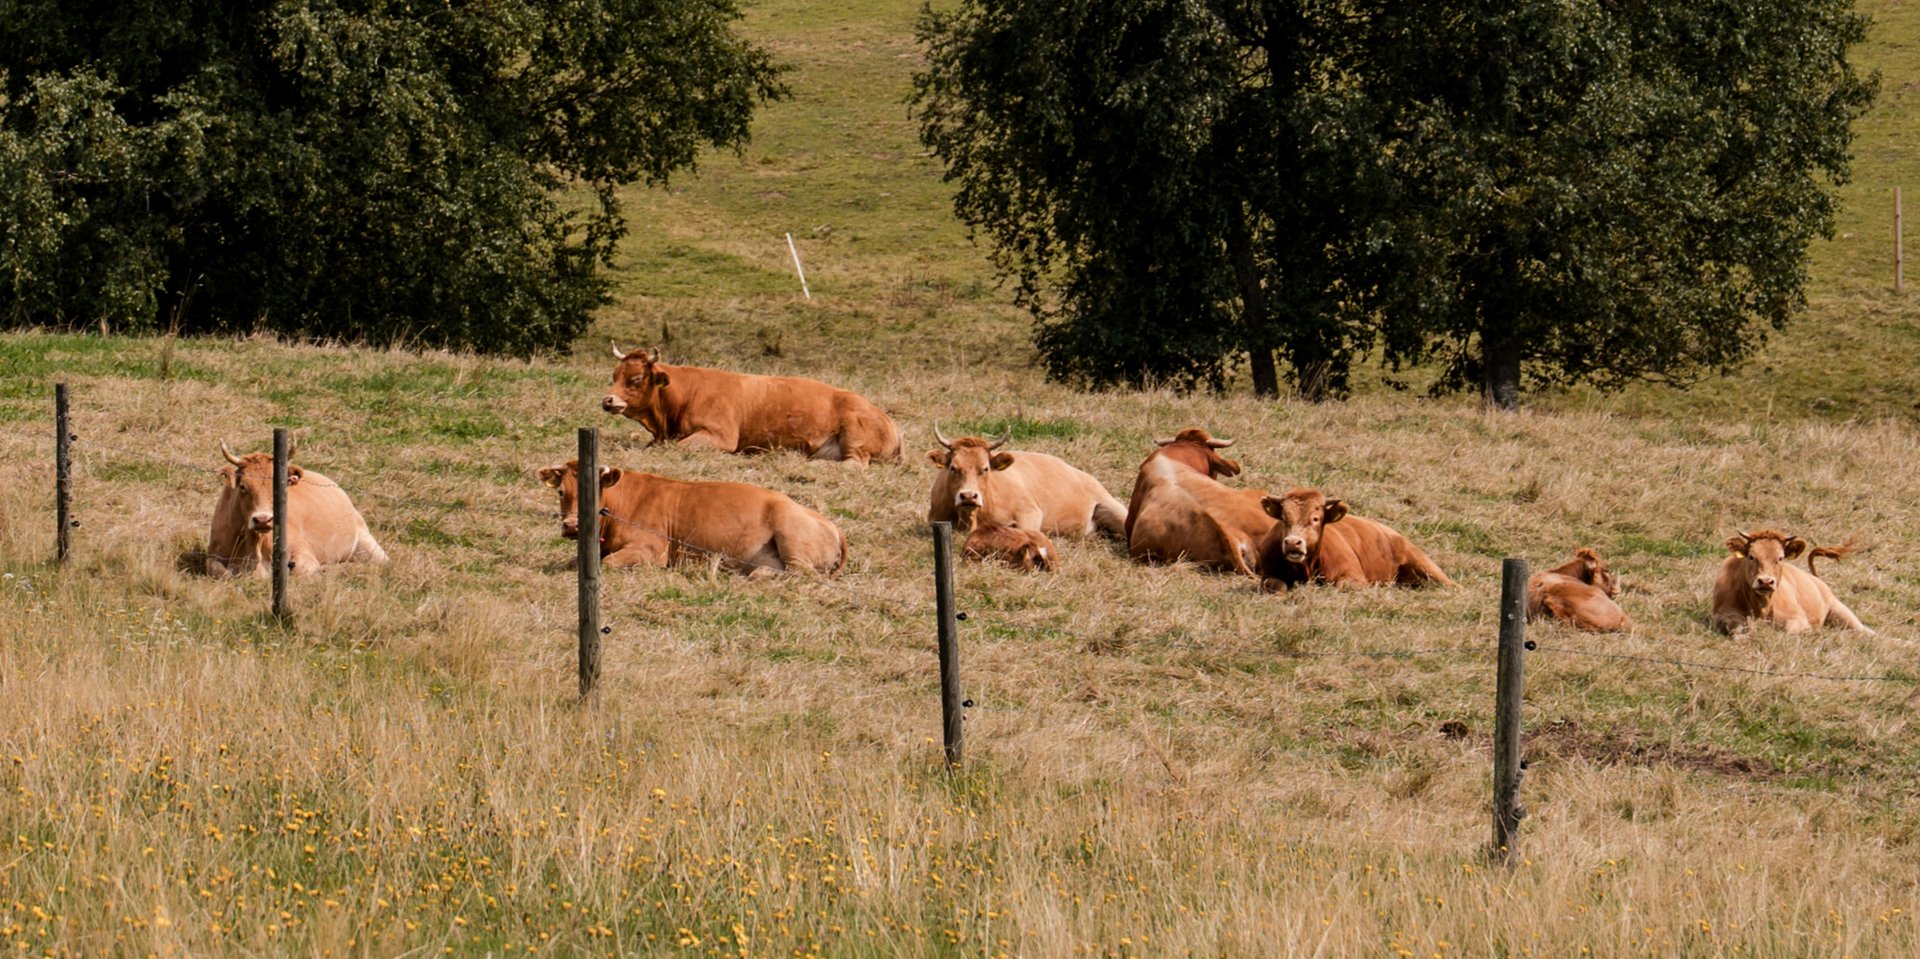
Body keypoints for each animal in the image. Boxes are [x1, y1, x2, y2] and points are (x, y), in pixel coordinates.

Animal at [206, 441, 388, 578]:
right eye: (243, 486)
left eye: (279, 487)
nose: (263, 519)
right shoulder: (213, 555)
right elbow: (222, 572)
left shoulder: (303, 552)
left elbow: (302, 571)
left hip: (370, 546)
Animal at [538, 460, 845, 575]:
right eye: (561, 492)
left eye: (594, 492)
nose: (572, 525)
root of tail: (830, 523)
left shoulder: (652, 551)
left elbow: (609, 562)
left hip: (792, 539)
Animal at [600, 345, 901, 464]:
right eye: (614, 376)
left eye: (636, 379)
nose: (607, 400)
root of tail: (884, 417)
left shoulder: (720, 437)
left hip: (854, 436)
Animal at [1256, 488, 1452, 590]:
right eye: (1283, 517)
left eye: (1315, 518)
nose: (1292, 542)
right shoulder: (1267, 575)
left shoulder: (1355, 578)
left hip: (1427, 567)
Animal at [1711, 529, 1871, 635]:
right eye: (1751, 556)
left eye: (1780, 557)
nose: (1765, 581)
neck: (1761, 608)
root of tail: (1816, 579)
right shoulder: (1721, 614)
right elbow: (1737, 629)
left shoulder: (1798, 617)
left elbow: (1789, 631)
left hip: (1839, 609)